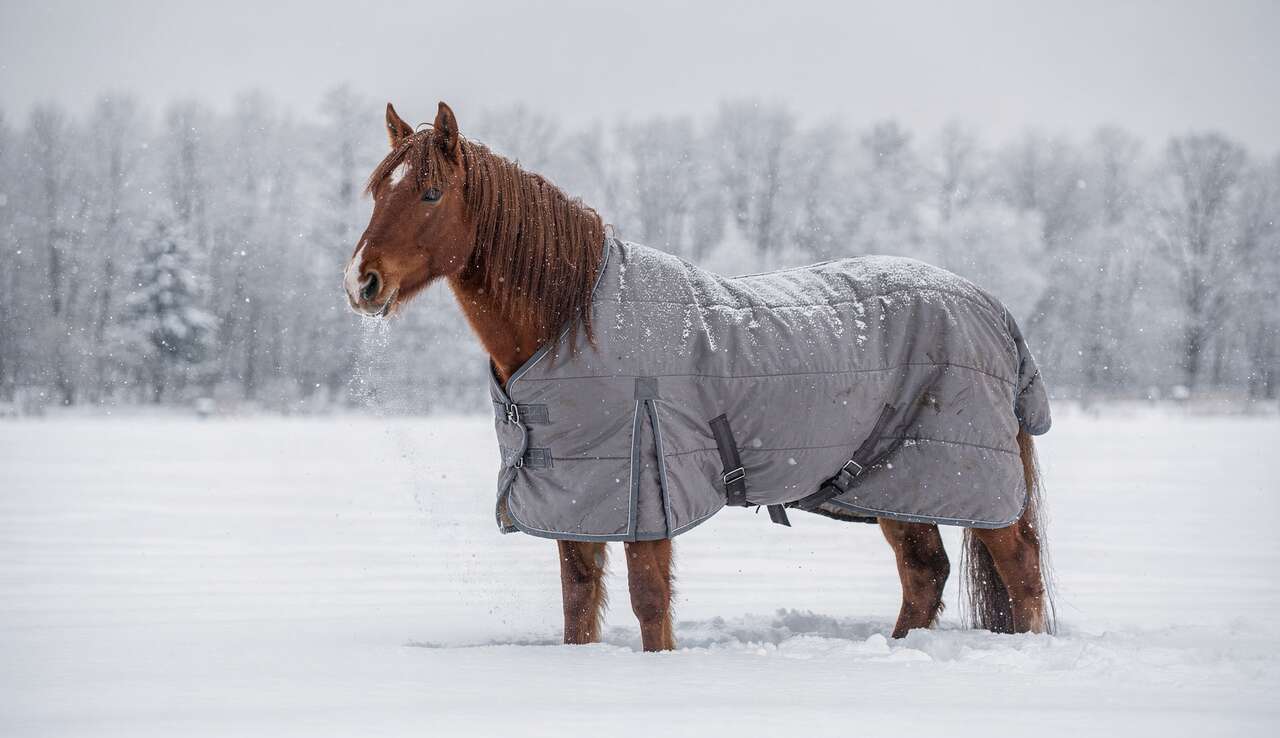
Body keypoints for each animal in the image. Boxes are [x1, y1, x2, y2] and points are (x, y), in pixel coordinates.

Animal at [344, 101, 1055, 652]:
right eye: (377, 191)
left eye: (431, 192)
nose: (361, 282)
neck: (574, 319)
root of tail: (993, 307)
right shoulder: (578, 501)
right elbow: (579, 604)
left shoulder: (645, 492)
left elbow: (648, 601)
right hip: (903, 486)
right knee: (925, 574)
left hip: (967, 482)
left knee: (1020, 573)